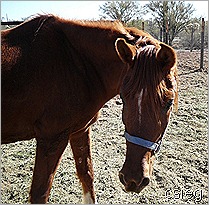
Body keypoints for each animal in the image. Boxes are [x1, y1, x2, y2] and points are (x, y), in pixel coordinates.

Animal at [1, 14, 178, 203]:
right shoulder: (51, 139)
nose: (133, 179)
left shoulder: (79, 131)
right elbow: (40, 193)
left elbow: (87, 175)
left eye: (168, 102)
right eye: (123, 98)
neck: (74, 64)